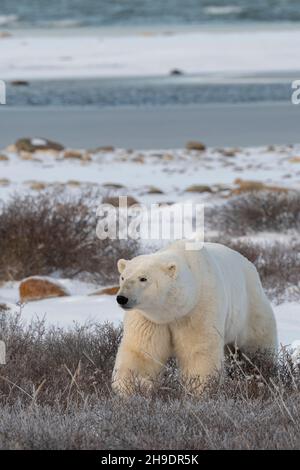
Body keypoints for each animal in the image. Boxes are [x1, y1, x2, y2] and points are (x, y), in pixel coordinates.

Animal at [112, 241, 276, 394]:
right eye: (123, 277)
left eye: (143, 278)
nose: (122, 298)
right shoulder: (148, 319)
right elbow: (140, 352)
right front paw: (132, 386)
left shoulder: (198, 308)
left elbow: (199, 351)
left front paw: (199, 388)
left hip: (250, 307)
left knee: (257, 343)